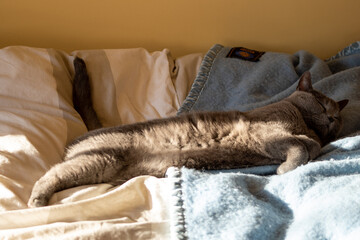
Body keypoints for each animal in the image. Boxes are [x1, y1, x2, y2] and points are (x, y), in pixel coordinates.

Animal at [27, 57, 348, 207]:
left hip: (100, 168)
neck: (303, 122)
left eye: (337, 116)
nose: (332, 118)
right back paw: (36, 201)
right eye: (321, 103)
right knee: (50, 173)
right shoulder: (267, 132)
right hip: (98, 160)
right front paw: (286, 168)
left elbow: (311, 145)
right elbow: (302, 146)